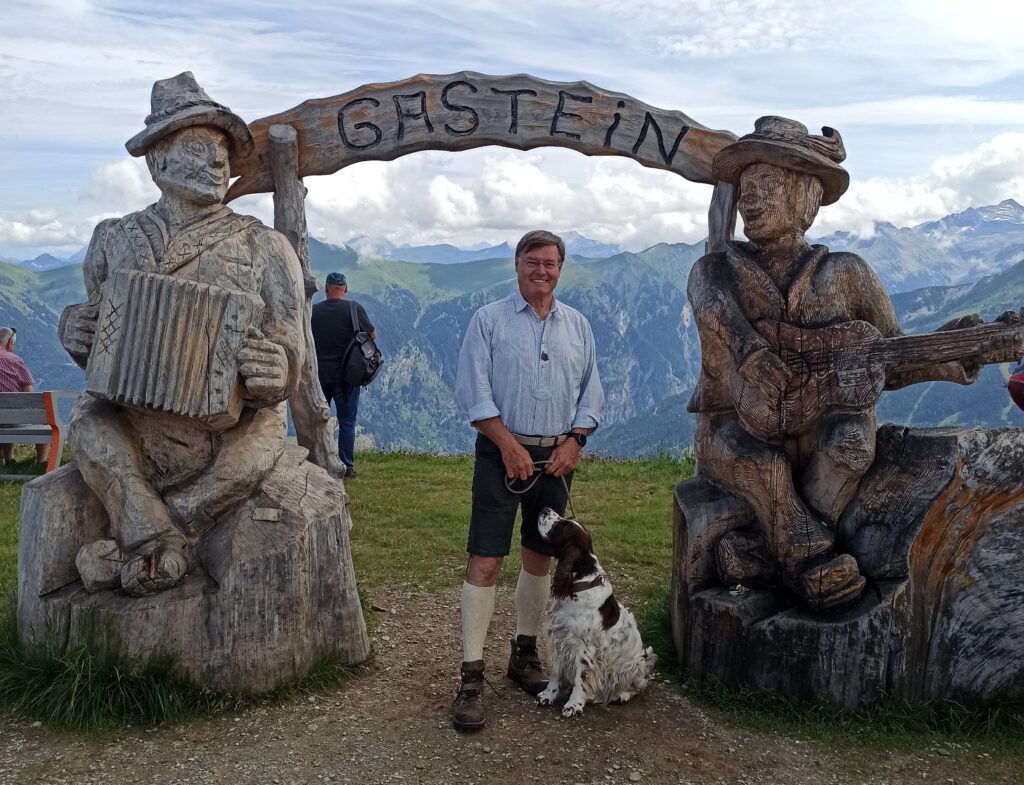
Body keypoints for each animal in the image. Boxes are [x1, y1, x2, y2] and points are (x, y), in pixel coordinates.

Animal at [536, 509, 655, 720]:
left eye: (562, 525)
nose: (544, 509)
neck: (578, 586)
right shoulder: (558, 638)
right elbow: (556, 672)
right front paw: (548, 695)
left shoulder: (584, 648)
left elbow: (580, 678)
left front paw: (573, 705)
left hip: (636, 663)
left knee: (639, 684)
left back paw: (622, 694)